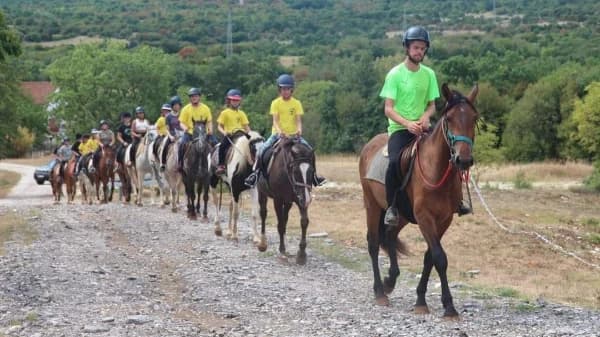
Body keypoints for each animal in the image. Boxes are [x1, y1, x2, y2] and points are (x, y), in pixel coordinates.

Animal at [254, 137, 316, 266]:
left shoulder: (300, 198)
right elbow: (280, 224)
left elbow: (304, 222)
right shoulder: (278, 200)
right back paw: (263, 243)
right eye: (296, 171)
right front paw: (282, 250)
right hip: (262, 193)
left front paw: (301, 254)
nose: (308, 199)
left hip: (288, 202)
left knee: (285, 217)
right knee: (263, 214)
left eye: (311, 171)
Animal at [358, 82, 480, 316]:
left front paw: (421, 299)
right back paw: (380, 292)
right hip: (372, 204)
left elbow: (429, 257)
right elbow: (440, 257)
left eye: (474, 118)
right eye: (449, 118)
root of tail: (369, 146)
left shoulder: (444, 219)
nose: (463, 159)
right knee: (374, 243)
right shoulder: (425, 217)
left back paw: (390, 281)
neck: (436, 171)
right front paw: (449, 306)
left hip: (402, 214)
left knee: (390, 235)